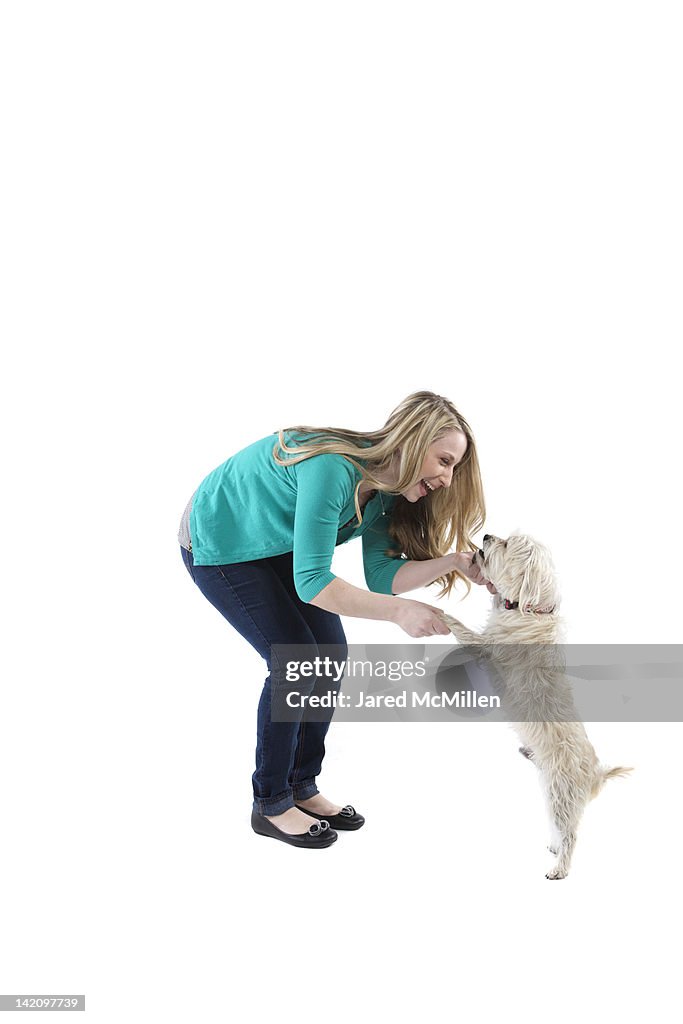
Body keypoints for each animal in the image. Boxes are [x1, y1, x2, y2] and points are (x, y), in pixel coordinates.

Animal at [444, 536, 630, 880]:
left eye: (506, 544)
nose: (487, 537)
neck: (533, 613)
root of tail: (595, 776)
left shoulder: (485, 646)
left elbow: (463, 630)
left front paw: (440, 614)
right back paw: (554, 848)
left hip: (560, 795)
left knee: (571, 833)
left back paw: (560, 868)